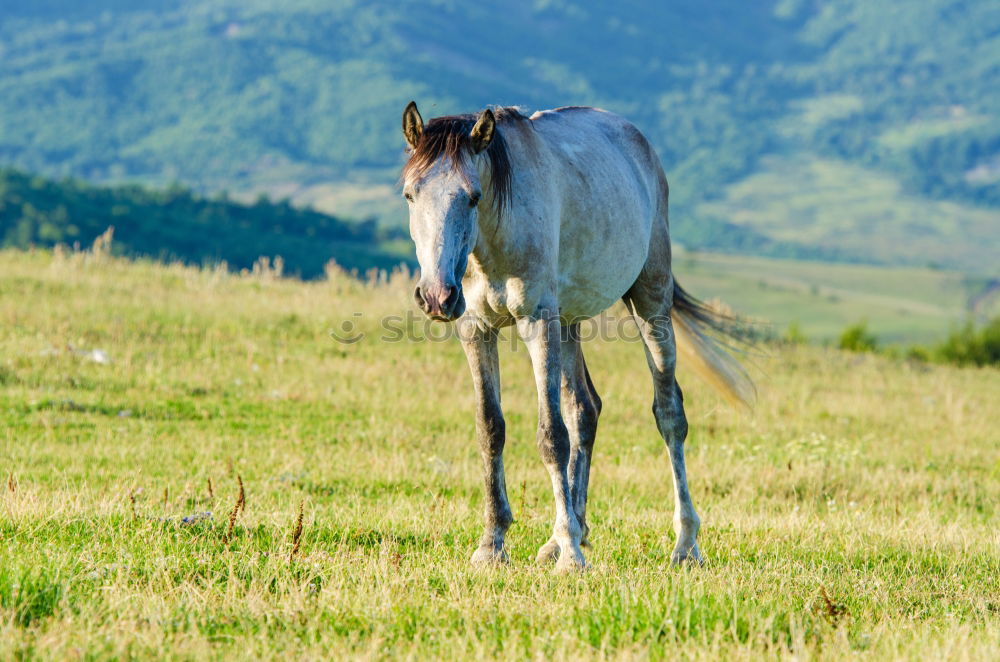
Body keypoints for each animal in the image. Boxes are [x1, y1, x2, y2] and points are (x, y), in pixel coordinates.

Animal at [398, 101, 752, 572]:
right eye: (410, 194)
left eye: (473, 196)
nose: (437, 296)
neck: (496, 234)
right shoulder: (475, 329)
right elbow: (491, 429)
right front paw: (493, 544)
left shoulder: (538, 323)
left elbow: (552, 437)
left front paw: (570, 555)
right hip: (569, 322)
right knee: (585, 409)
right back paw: (566, 534)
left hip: (649, 300)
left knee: (669, 414)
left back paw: (684, 544)